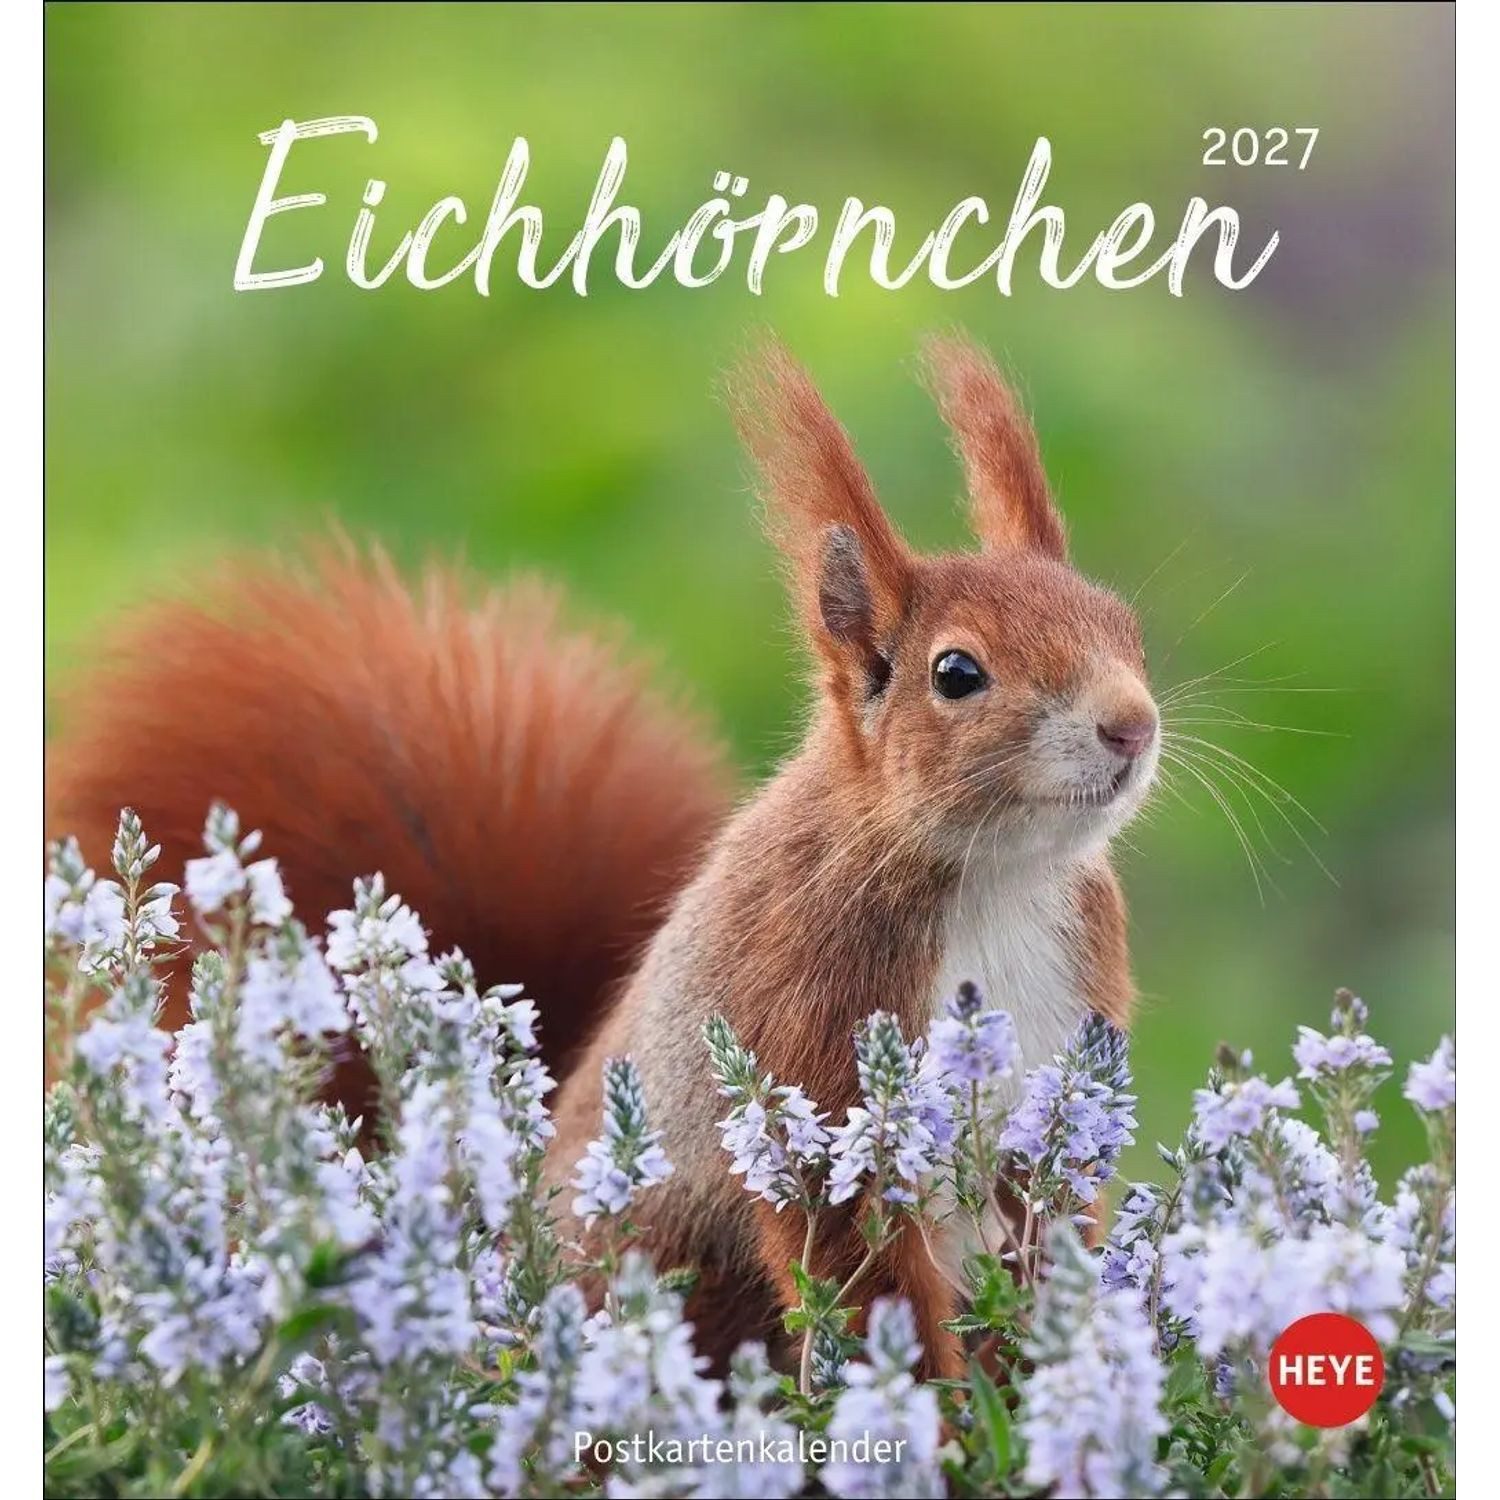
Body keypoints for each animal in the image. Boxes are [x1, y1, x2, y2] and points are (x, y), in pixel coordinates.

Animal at [46, 335, 1160, 1381]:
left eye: (1125, 625)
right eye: (957, 673)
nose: (1132, 724)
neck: (996, 877)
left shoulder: (1063, 1054)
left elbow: (1043, 1223)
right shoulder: (809, 1022)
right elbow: (860, 1263)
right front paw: (942, 1416)